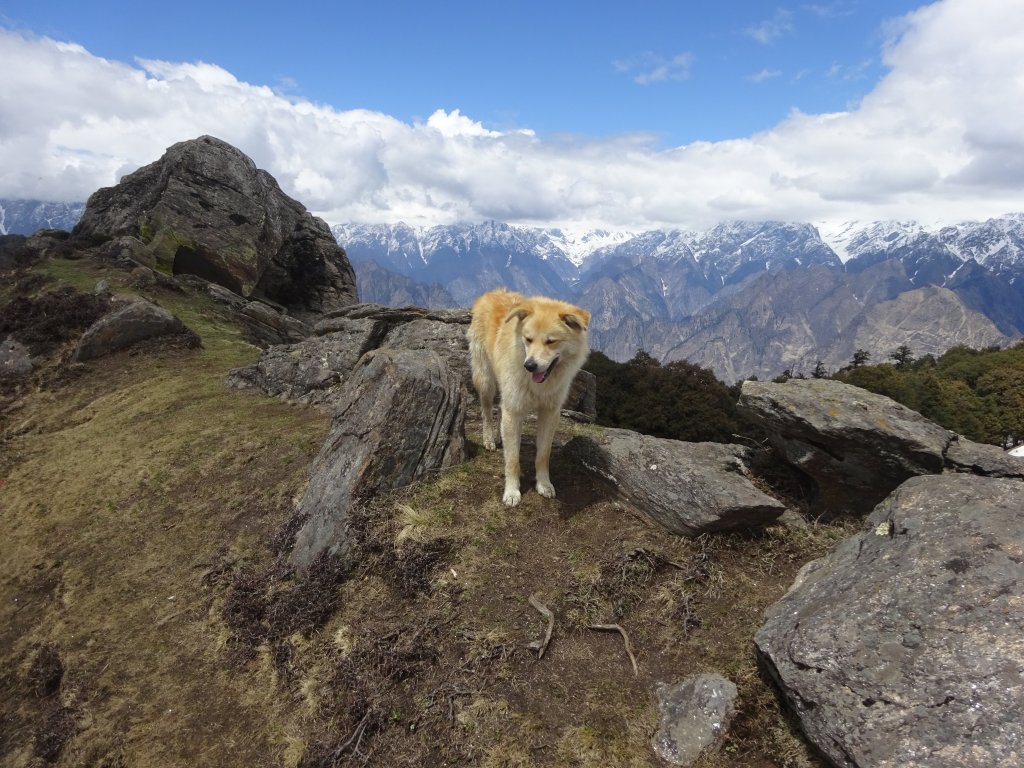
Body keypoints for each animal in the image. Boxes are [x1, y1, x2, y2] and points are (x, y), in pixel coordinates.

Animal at [466, 286, 593, 505]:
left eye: (551, 342)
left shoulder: (549, 413)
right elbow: (512, 460)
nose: (530, 365)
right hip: (485, 379)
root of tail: (492, 292)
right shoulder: (514, 410)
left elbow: (543, 455)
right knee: (487, 411)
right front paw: (512, 492)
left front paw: (544, 484)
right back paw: (489, 439)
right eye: (528, 339)